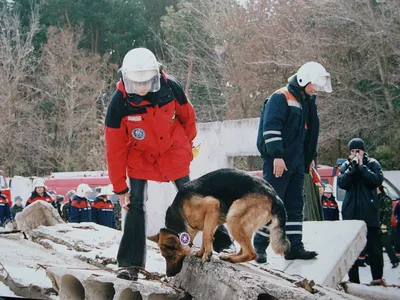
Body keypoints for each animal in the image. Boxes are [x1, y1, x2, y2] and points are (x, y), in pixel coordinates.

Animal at [148, 168, 290, 276]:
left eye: (170, 256)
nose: (168, 275)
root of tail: (275, 196)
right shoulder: (211, 221)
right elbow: (206, 236)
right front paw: (201, 252)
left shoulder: (212, 205)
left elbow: (206, 236)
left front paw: (207, 255)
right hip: (238, 223)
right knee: (244, 250)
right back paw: (229, 256)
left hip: (234, 218)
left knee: (252, 253)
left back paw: (231, 258)